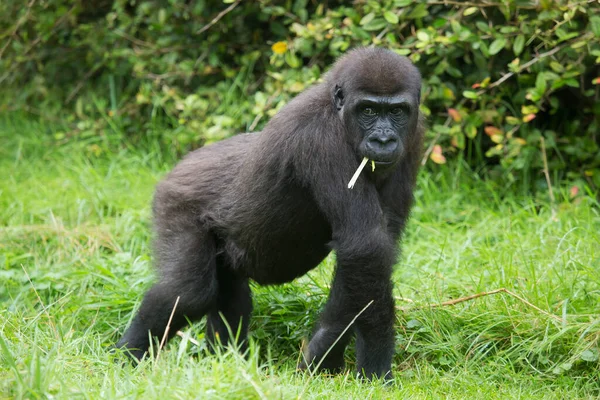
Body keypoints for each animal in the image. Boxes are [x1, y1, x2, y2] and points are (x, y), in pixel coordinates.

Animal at [117, 45, 424, 380]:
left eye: (396, 112)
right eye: (368, 110)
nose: (383, 140)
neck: (336, 109)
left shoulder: (414, 137)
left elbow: (369, 259)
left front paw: (324, 350)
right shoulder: (322, 139)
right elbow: (366, 247)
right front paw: (376, 369)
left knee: (229, 291)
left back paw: (224, 360)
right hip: (175, 202)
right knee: (186, 292)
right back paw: (125, 355)